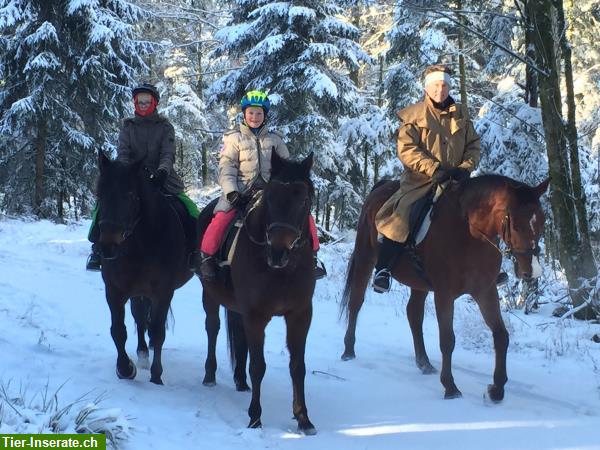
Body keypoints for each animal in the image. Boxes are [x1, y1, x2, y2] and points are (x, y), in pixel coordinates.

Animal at [96, 153, 195, 384]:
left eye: (130, 195)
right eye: (99, 194)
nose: (107, 246)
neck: (139, 245)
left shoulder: (163, 292)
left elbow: (158, 331)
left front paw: (156, 375)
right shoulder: (114, 290)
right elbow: (118, 330)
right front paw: (125, 368)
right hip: (136, 292)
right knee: (140, 318)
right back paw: (141, 353)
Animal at [199, 153, 318, 434]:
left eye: (304, 200)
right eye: (270, 198)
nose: (278, 252)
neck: (282, 271)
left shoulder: (300, 315)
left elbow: (297, 366)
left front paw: (303, 418)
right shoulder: (256, 315)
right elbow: (258, 366)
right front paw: (255, 417)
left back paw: (240, 382)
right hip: (209, 294)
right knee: (212, 328)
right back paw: (210, 375)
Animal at [340, 175, 548, 400]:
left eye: (543, 221)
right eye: (516, 224)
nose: (532, 271)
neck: (470, 234)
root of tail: (381, 187)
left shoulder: (485, 291)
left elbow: (501, 336)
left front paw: (497, 389)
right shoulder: (444, 294)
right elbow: (448, 340)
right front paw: (450, 387)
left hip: (419, 282)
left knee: (414, 314)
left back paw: (424, 363)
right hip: (365, 258)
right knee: (356, 302)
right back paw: (348, 351)